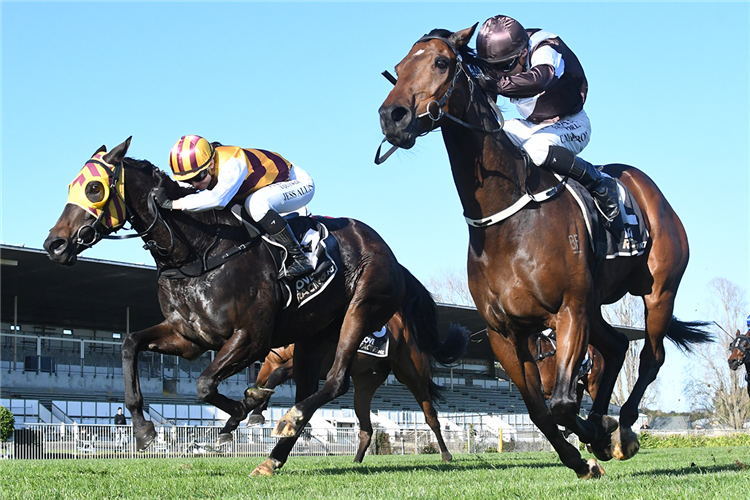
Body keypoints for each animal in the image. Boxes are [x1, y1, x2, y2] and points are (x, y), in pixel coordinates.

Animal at [42, 138, 440, 476]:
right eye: (71, 187)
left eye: (94, 189)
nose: (54, 244)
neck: (198, 251)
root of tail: (390, 254)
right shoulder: (190, 337)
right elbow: (129, 344)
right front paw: (143, 430)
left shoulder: (251, 338)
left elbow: (205, 384)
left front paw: (243, 410)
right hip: (313, 337)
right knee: (310, 390)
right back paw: (272, 458)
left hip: (362, 310)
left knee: (338, 381)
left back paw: (286, 420)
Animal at [247, 310, 470, 462]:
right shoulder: (268, 363)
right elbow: (261, 383)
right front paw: (255, 413)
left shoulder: (307, 364)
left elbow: (276, 375)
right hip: (364, 384)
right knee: (367, 429)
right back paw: (356, 461)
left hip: (413, 377)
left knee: (431, 417)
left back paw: (446, 454)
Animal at [378, 26, 712, 476]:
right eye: (398, 68)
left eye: (441, 62)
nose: (391, 116)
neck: (506, 220)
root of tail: (645, 185)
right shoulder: (504, 332)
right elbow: (540, 409)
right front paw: (584, 453)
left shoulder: (567, 310)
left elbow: (563, 403)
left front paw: (598, 437)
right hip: (594, 305)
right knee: (616, 347)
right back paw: (605, 424)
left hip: (658, 290)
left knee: (651, 357)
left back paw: (623, 428)